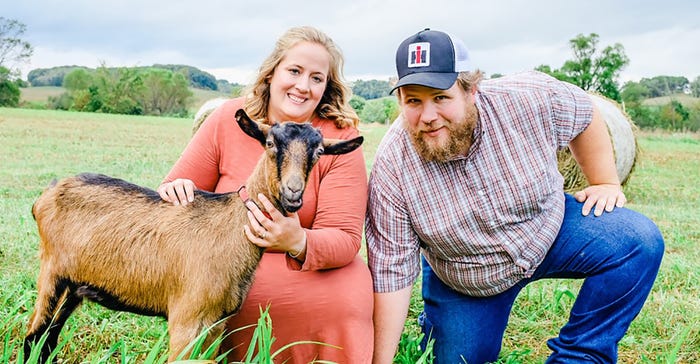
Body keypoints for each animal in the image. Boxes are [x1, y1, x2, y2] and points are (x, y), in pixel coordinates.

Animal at [24, 108, 366, 362]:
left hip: (74, 286)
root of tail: (46, 195)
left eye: (318, 151)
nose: (292, 193)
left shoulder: (216, 322)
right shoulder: (186, 319)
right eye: (270, 144)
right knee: (34, 336)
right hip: (52, 273)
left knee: (48, 339)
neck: (232, 226)